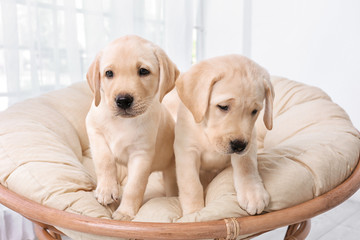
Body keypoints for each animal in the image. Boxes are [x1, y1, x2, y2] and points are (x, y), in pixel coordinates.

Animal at [84, 34, 180, 220]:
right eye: (109, 73)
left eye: (143, 71)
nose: (123, 100)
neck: (123, 122)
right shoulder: (94, 130)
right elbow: (104, 159)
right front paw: (106, 189)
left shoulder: (141, 155)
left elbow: (134, 187)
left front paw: (125, 212)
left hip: (170, 171)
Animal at [176, 54, 274, 216]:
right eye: (223, 107)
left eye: (254, 111)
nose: (239, 145)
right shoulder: (186, 151)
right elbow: (191, 184)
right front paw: (194, 212)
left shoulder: (249, 143)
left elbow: (246, 166)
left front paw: (252, 193)